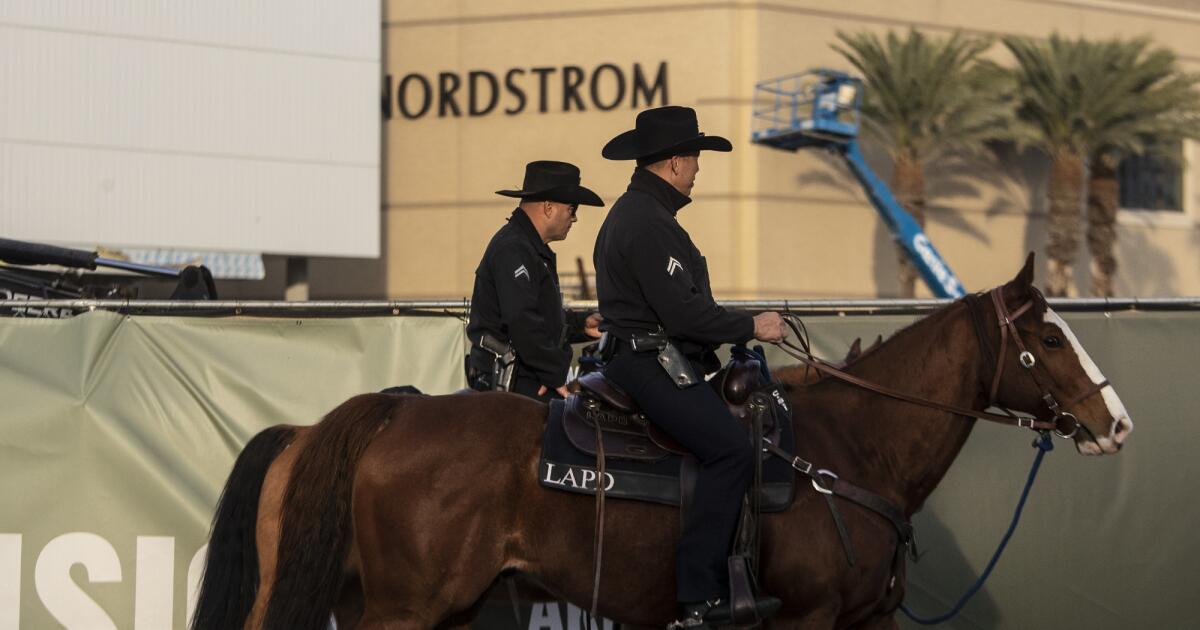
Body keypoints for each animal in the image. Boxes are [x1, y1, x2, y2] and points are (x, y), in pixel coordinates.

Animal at [192, 255, 1128, 628]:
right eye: (1049, 338)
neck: (848, 452)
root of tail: (389, 412)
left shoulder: (872, 621)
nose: (1116, 421)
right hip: (403, 609)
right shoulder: (807, 619)